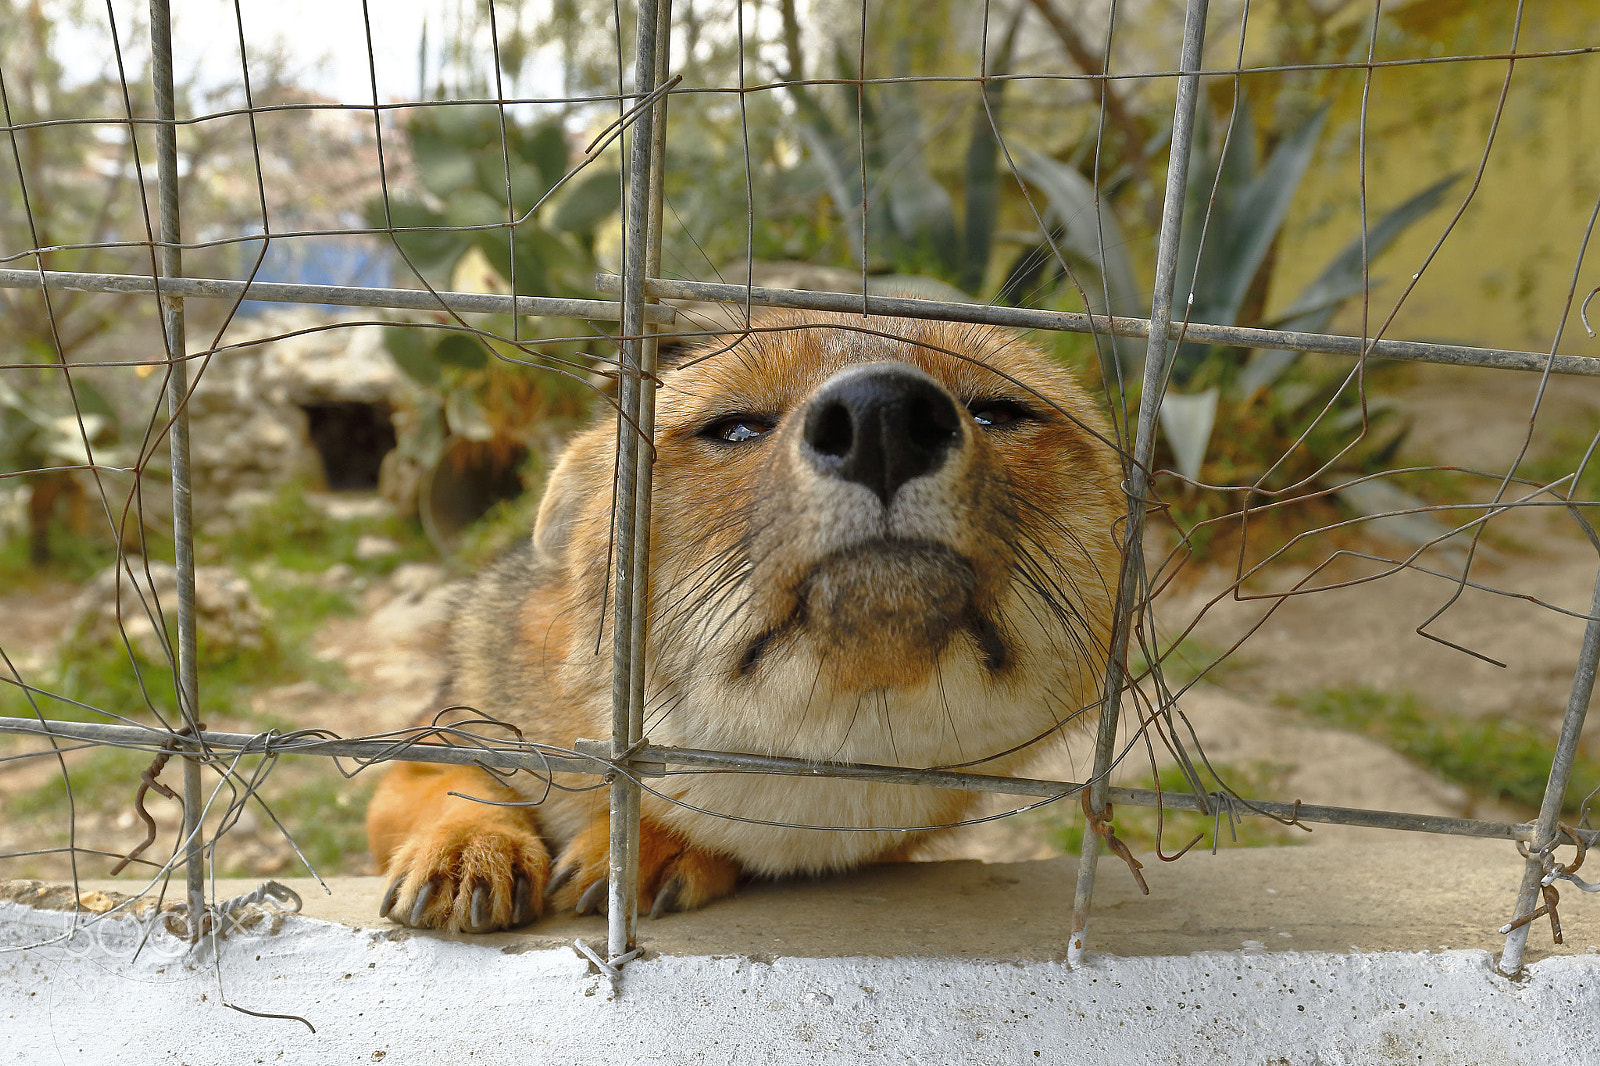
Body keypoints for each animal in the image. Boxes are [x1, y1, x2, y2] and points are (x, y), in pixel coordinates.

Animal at [365, 309, 1124, 933]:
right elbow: (451, 784)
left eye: (996, 412)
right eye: (736, 427)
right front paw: (468, 843)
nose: (882, 417)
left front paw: (653, 843)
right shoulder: (443, 732)